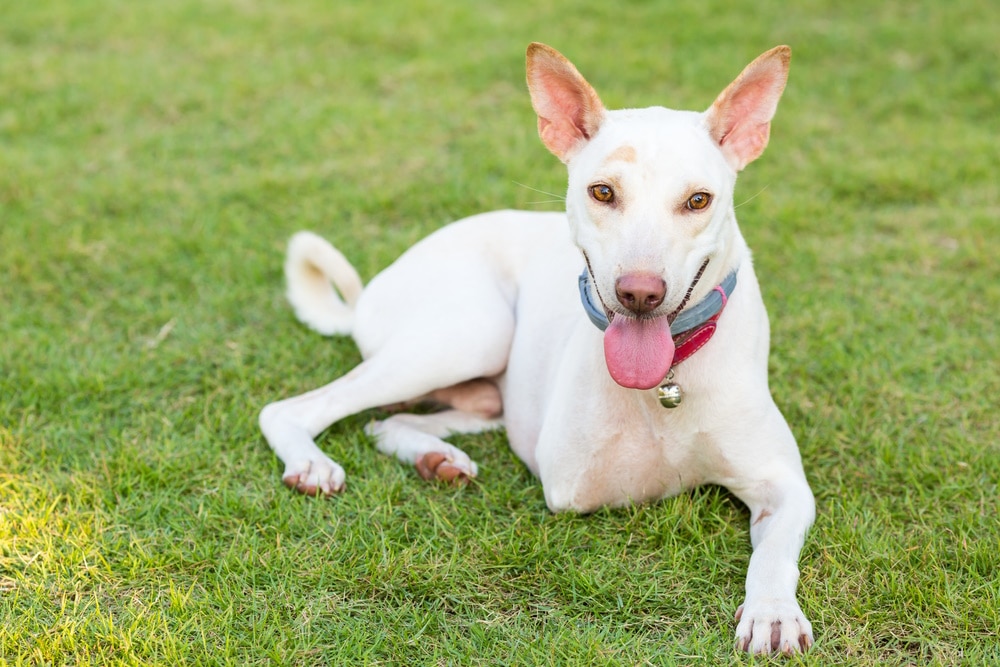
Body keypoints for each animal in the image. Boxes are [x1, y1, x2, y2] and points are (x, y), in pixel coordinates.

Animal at [262, 44, 816, 656]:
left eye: (698, 200)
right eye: (603, 192)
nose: (639, 294)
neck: (670, 375)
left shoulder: (785, 486)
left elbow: (774, 553)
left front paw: (771, 612)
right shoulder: (572, 482)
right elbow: (662, 473)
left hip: (479, 386)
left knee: (392, 422)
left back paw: (436, 457)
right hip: (471, 331)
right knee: (293, 409)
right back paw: (312, 462)